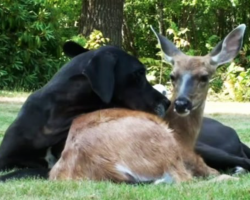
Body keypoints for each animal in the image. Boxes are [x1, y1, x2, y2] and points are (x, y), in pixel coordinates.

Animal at [48, 24, 246, 184]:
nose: (181, 103)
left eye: (204, 77)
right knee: (186, 179)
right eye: (172, 76)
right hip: (166, 149)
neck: (182, 135)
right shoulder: (191, 158)